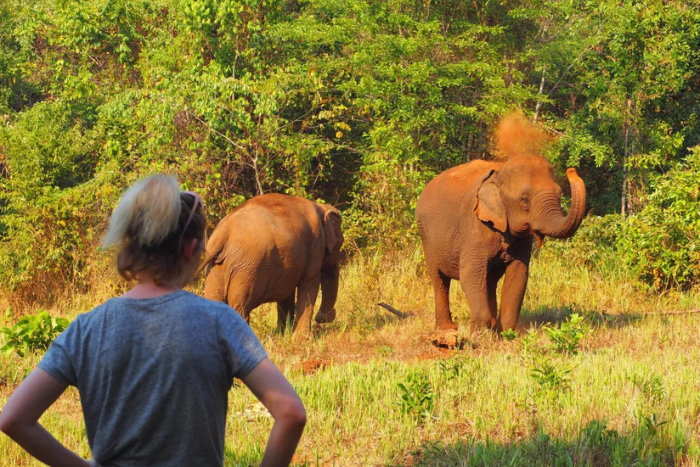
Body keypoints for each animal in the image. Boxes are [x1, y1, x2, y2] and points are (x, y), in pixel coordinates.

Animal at [201, 192, 344, 338]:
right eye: (340, 243)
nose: (322, 318)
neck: (321, 207)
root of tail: (222, 233)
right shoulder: (316, 244)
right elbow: (309, 283)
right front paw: (300, 339)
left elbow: (287, 294)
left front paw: (283, 335)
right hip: (246, 270)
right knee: (240, 307)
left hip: (217, 269)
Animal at [416, 155, 584, 334]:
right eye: (523, 199)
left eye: (560, 194)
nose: (571, 170)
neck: (498, 175)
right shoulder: (475, 227)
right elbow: (470, 274)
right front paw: (477, 335)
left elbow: (518, 277)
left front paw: (504, 334)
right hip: (426, 236)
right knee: (439, 280)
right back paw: (447, 329)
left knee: (489, 281)